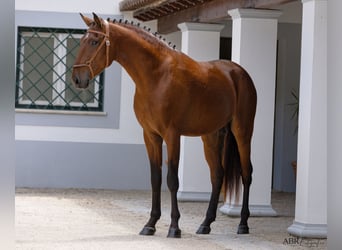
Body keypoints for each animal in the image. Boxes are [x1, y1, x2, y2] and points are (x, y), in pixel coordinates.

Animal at [72, 13, 256, 238]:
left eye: (94, 41)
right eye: (82, 40)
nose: (77, 79)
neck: (157, 76)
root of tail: (239, 73)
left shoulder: (172, 135)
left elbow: (172, 180)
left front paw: (174, 227)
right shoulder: (150, 135)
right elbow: (156, 178)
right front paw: (150, 224)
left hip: (243, 132)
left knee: (246, 173)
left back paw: (243, 223)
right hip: (211, 136)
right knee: (217, 175)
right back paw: (206, 224)